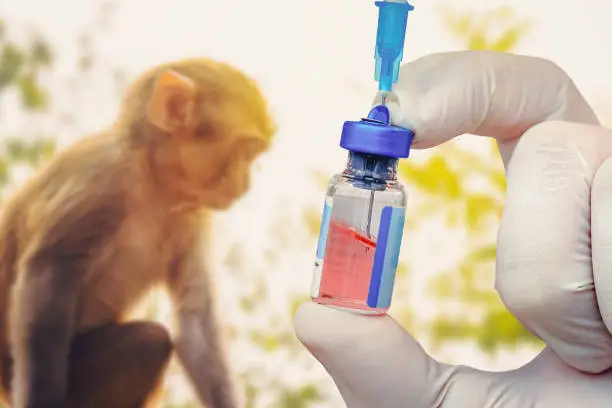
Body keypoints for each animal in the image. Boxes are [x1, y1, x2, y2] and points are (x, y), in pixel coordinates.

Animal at [0, 57, 278, 408]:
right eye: (246, 152)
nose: (245, 184)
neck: (155, 184)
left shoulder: (192, 217)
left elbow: (194, 320)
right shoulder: (103, 175)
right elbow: (47, 272)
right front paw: (42, 397)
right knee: (150, 339)